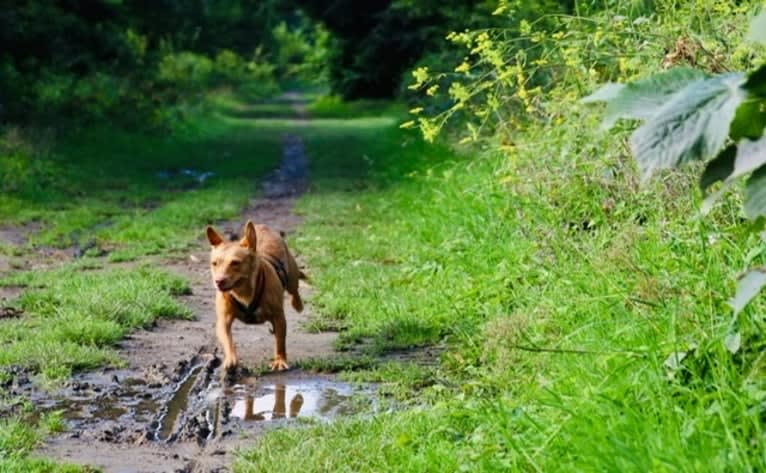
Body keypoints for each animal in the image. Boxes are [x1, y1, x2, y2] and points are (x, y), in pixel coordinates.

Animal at [208, 221, 308, 372]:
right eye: (214, 263)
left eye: (235, 263)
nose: (218, 281)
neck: (243, 291)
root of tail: (261, 226)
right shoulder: (223, 320)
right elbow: (227, 339)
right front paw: (231, 358)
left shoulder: (279, 317)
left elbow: (280, 341)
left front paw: (280, 360)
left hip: (292, 277)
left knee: (294, 289)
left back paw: (297, 304)